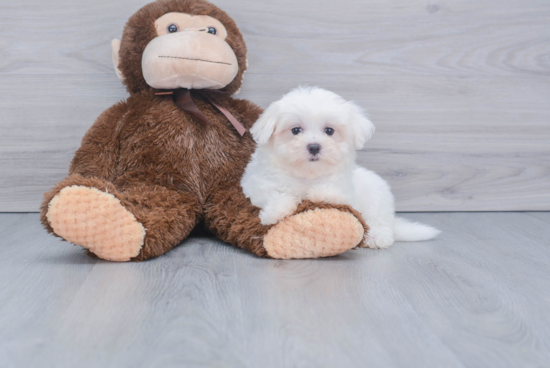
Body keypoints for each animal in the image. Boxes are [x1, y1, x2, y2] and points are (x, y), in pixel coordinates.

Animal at [242, 86, 440, 249]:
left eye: (329, 131)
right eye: (296, 130)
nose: (314, 147)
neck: (308, 174)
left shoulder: (344, 191)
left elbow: (328, 192)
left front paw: (314, 193)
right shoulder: (256, 185)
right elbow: (275, 193)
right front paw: (274, 213)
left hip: (377, 196)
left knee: (381, 223)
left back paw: (376, 236)